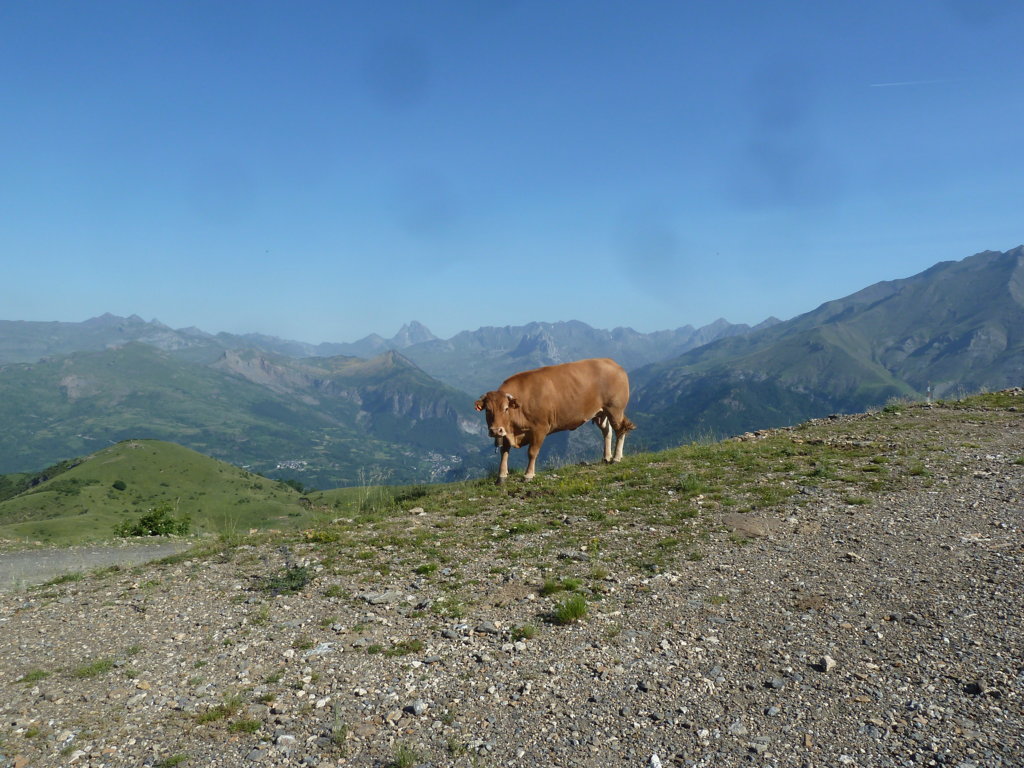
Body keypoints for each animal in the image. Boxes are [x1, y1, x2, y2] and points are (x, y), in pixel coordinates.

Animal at [475, 360, 634, 481]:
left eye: (506, 408)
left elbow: (532, 452)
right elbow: (504, 452)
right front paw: (501, 475)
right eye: (488, 410)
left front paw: (528, 475)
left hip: (615, 409)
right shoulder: (508, 430)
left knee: (621, 429)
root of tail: (613, 363)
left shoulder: (540, 428)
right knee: (607, 432)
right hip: (601, 412)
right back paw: (606, 457)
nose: (495, 430)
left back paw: (616, 458)